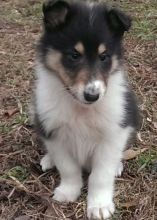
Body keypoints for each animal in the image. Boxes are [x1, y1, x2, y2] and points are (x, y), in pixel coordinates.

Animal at [33, 0, 139, 219]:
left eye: (104, 56)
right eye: (74, 55)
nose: (92, 95)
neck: (81, 108)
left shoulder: (113, 134)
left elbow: (101, 174)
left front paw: (99, 205)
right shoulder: (53, 132)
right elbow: (68, 167)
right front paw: (68, 191)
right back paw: (48, 159)